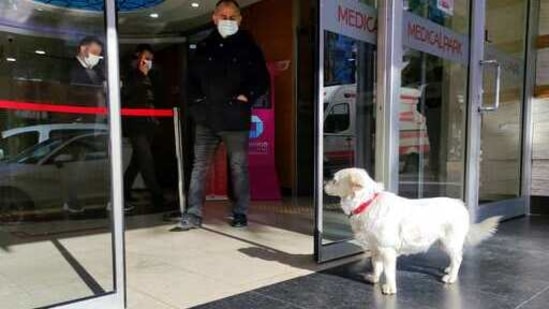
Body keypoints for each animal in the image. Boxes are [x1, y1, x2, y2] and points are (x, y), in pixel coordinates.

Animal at [326, 167, 500, 294]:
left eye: (334, 180)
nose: (323, 183)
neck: (367, 203)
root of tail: (461, 205)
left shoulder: (387, 250)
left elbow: (388, 272)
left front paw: (390, 288)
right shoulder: (376, 249)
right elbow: (377, 265)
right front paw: (374, 278)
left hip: (449, 241)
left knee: (458, 258)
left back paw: (451, 277)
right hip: (443, 243)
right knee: (455, 257)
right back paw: (449, 269)